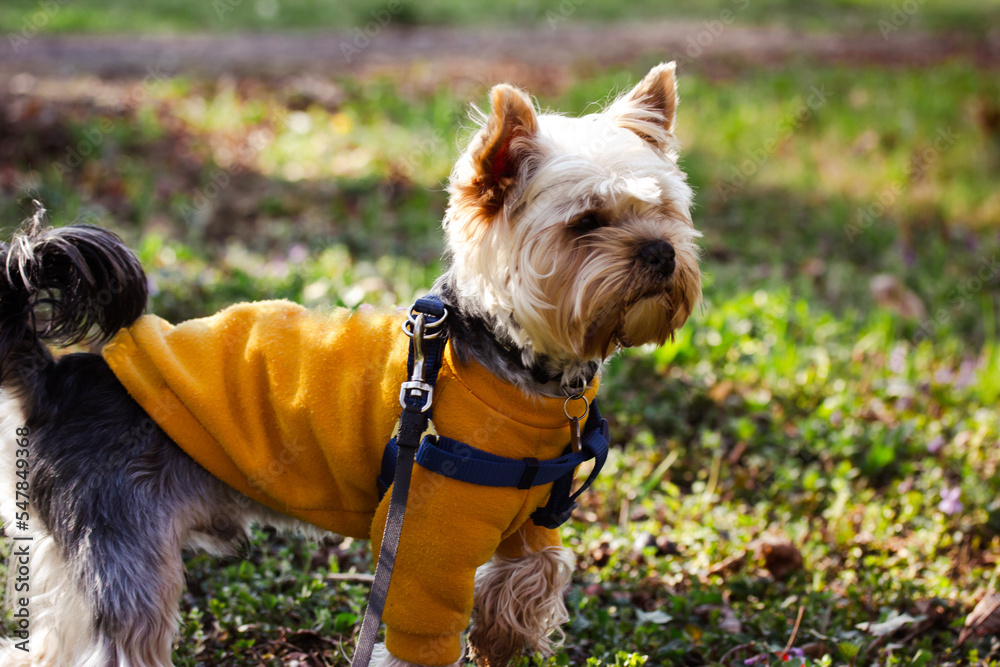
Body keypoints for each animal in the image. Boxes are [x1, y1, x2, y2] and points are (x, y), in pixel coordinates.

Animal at [0, 64, 700, 667]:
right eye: (585, 223)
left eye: (663, 211)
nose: (662, 252)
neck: (513, 364)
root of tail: (59, 381)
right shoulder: (421, 541)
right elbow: (423, 635)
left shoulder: (530, 518)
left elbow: (537, 573)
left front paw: (504, 638)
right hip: (125, 547)